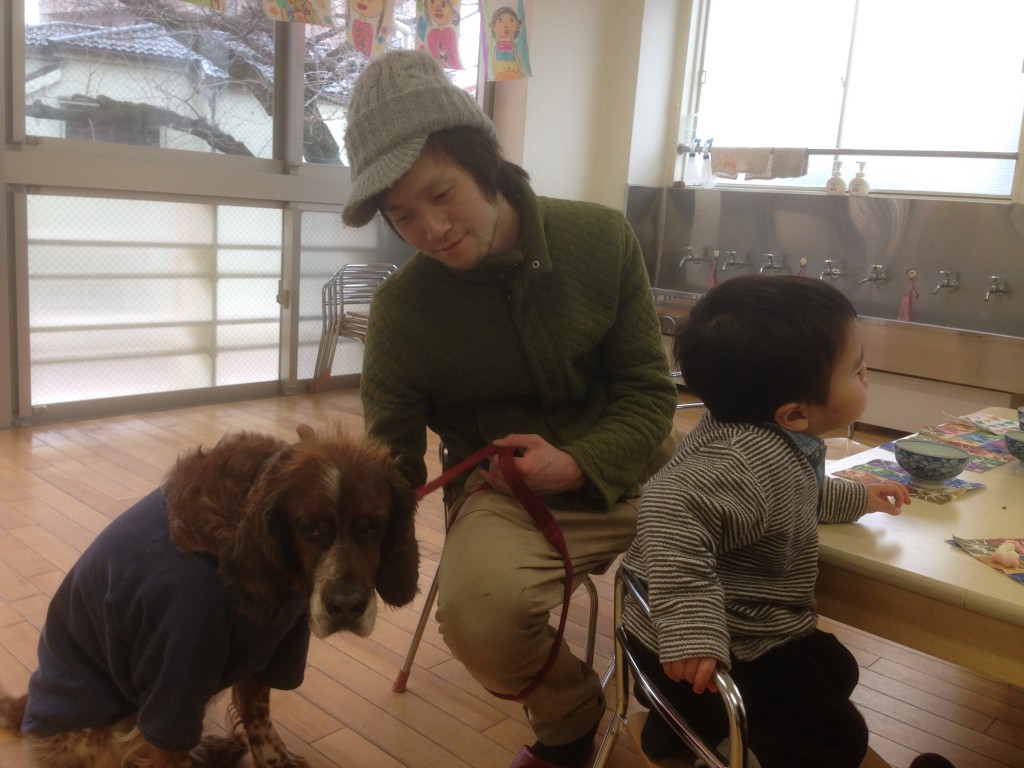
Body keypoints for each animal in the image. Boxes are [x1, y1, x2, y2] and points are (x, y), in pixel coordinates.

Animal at [0, 423, 419, 767]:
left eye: (375, 526)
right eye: (307, 528)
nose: (346, 607)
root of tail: (28, 711)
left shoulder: (277, 647)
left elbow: (260, 719)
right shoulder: (176, 673)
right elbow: (171, 749)